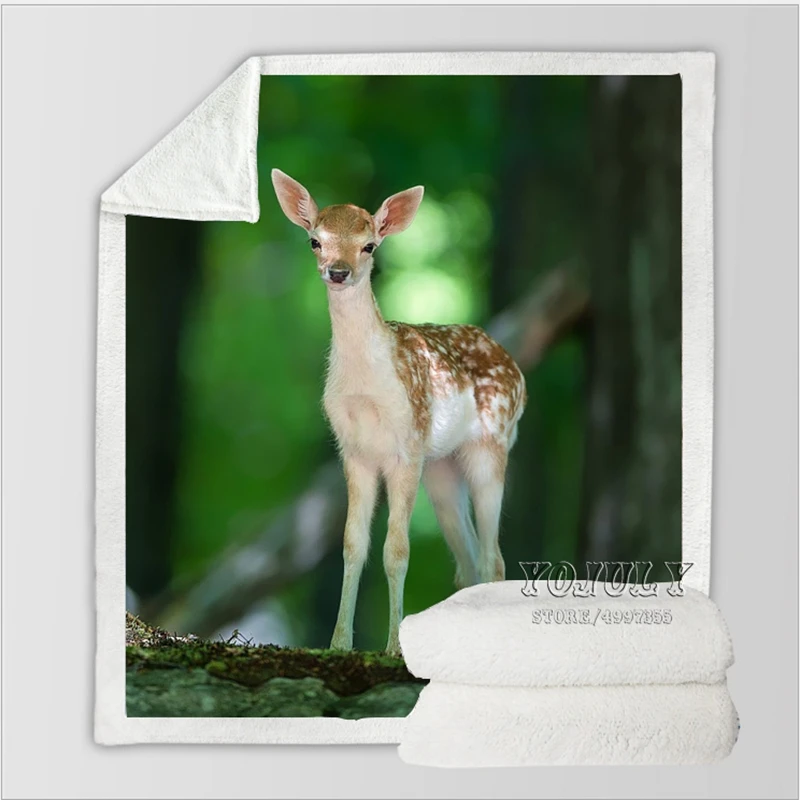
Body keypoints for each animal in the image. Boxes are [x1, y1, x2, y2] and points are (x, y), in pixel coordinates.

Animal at [271, 169, 527, 655]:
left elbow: (397, 550)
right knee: (467, 560)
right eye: (315, 240)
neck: (366, 388)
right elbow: (353, 545)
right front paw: (338, 644)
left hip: (492, 444)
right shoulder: (353, 451)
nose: (338, 271)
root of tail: (516, 369)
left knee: (494, 559)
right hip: (441, 467)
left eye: (370, 245)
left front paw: (392, 647)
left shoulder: (407, 446)